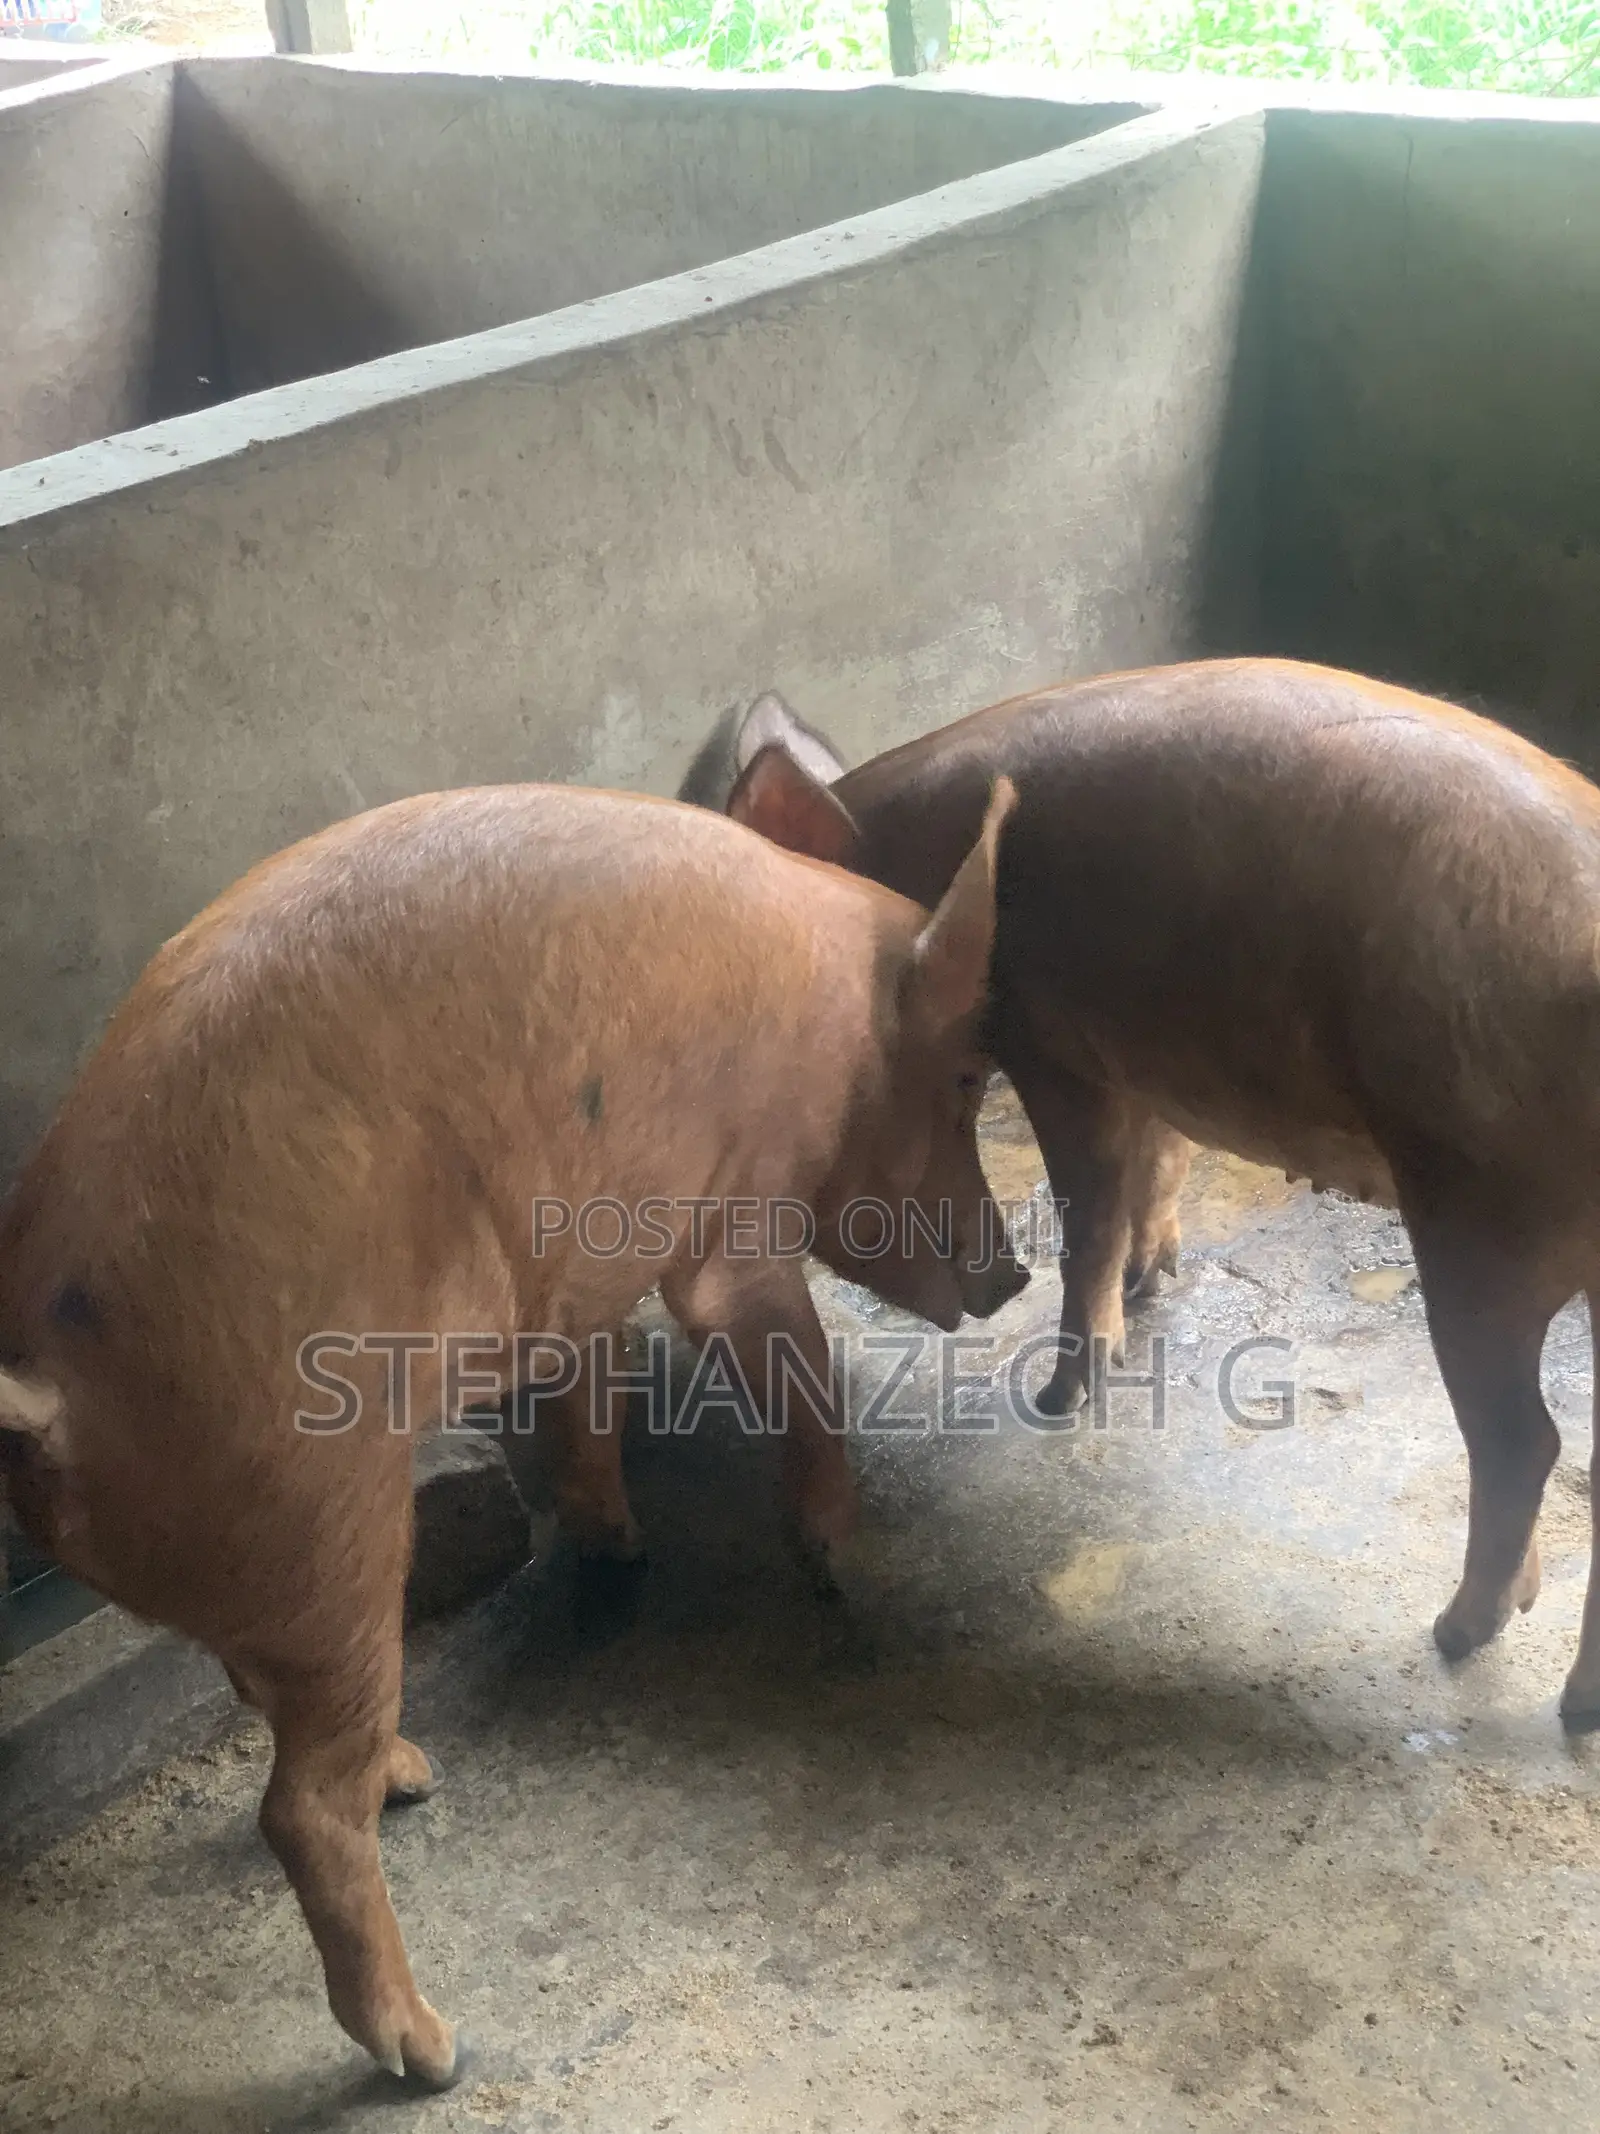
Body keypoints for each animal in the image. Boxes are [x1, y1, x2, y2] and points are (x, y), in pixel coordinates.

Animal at [0, 778, 1024, 2090]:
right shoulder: (733, 1219)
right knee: (297, 1806)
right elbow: (792, 1366)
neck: (836, 1026)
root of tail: (49, 1386)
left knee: (262, 1690)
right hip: (323, 1511)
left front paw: (620, 1546)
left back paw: (412, 1775)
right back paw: (434, 2047)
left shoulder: (580, 1261)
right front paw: (852, 1564)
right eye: (967, 1075)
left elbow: (585, 1390)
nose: (1014, 1273)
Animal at [684, 659, 1600, 1727]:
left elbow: (1088, 1212)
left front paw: (1058, 1395)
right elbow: (1158, 1171)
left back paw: (1464, 1640)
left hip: (1476, 1216)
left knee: (1524, 1442)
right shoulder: (1149, 1062)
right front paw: (1154, 1281)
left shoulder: (1049, 1042)